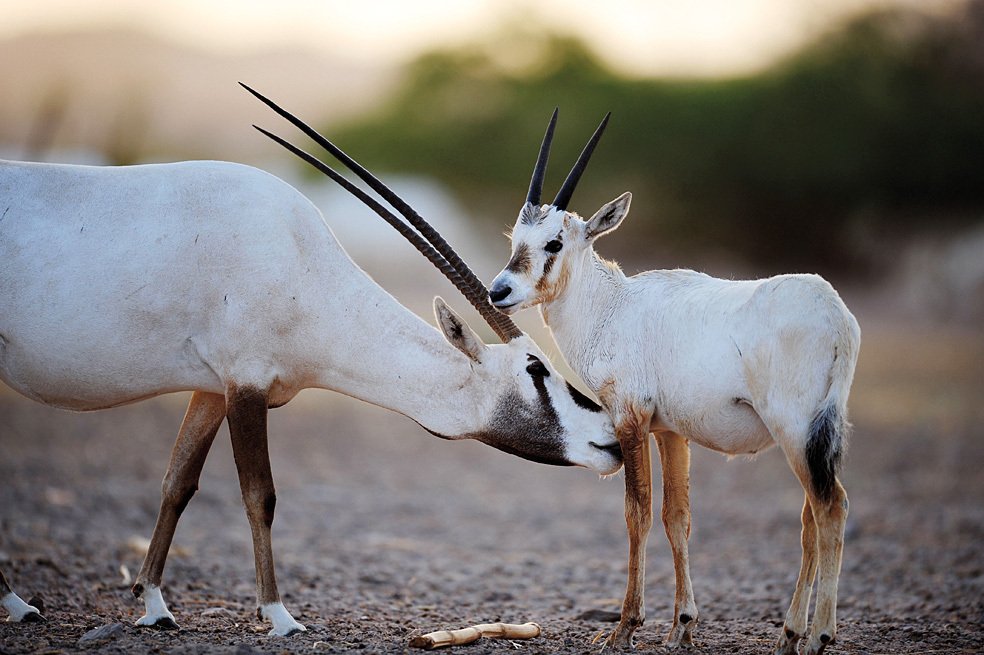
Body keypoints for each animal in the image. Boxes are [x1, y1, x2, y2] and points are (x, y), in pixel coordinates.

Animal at [0, 128, 620, 636]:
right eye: (536, 369)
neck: (300, 262)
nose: (611, 440)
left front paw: (152, 603)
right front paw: (279, 615)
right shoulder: (246, 384)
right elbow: (260, 495)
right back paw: (17, 605)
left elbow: (178, 482)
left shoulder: (212, 387)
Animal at [488, 114, 856, 655]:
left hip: (795, 431)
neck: (614, 307)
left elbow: (637, 513)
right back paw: (790, 634)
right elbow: (676, 518)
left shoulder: (630, 419)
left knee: (831, 509)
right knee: (812, 517)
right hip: (813, 439)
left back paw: (817, 637)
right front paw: (682, 625)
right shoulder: (670, 432)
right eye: (516, 237)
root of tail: (836, 316)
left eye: (554, 242)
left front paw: (624, 627)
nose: (499, 291)